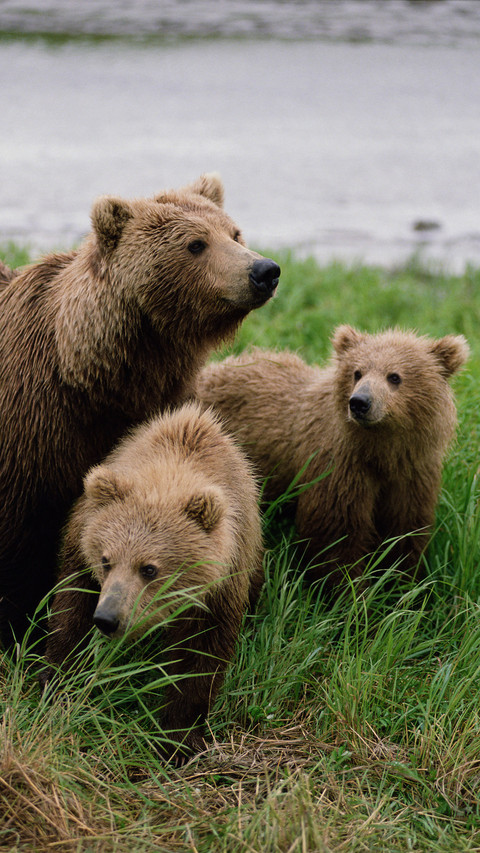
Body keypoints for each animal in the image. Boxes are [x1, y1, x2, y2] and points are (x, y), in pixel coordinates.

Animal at [0, 173, 280, 647]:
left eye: (235, 232)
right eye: (195, 243)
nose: (264, 270)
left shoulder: (154, 405)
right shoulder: (35, 423)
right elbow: (21, 539)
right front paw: (19, 630)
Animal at [41, 402, 264, 762]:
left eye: (149, 569)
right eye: (105, 560)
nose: (108, 618)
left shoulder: (220, 587)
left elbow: (199, 657)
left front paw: (178, 739)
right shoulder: (81, 546)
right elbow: (70, 613)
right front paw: (57, 681)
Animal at [195, 326, 469, 585]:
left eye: (395, 376)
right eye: (357, 372)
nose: (360, 402)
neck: (381, 452)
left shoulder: (412, 474)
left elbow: (404, 530)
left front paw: (402, 582)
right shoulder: (339, 466)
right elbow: (337, 535)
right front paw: (351, 590)